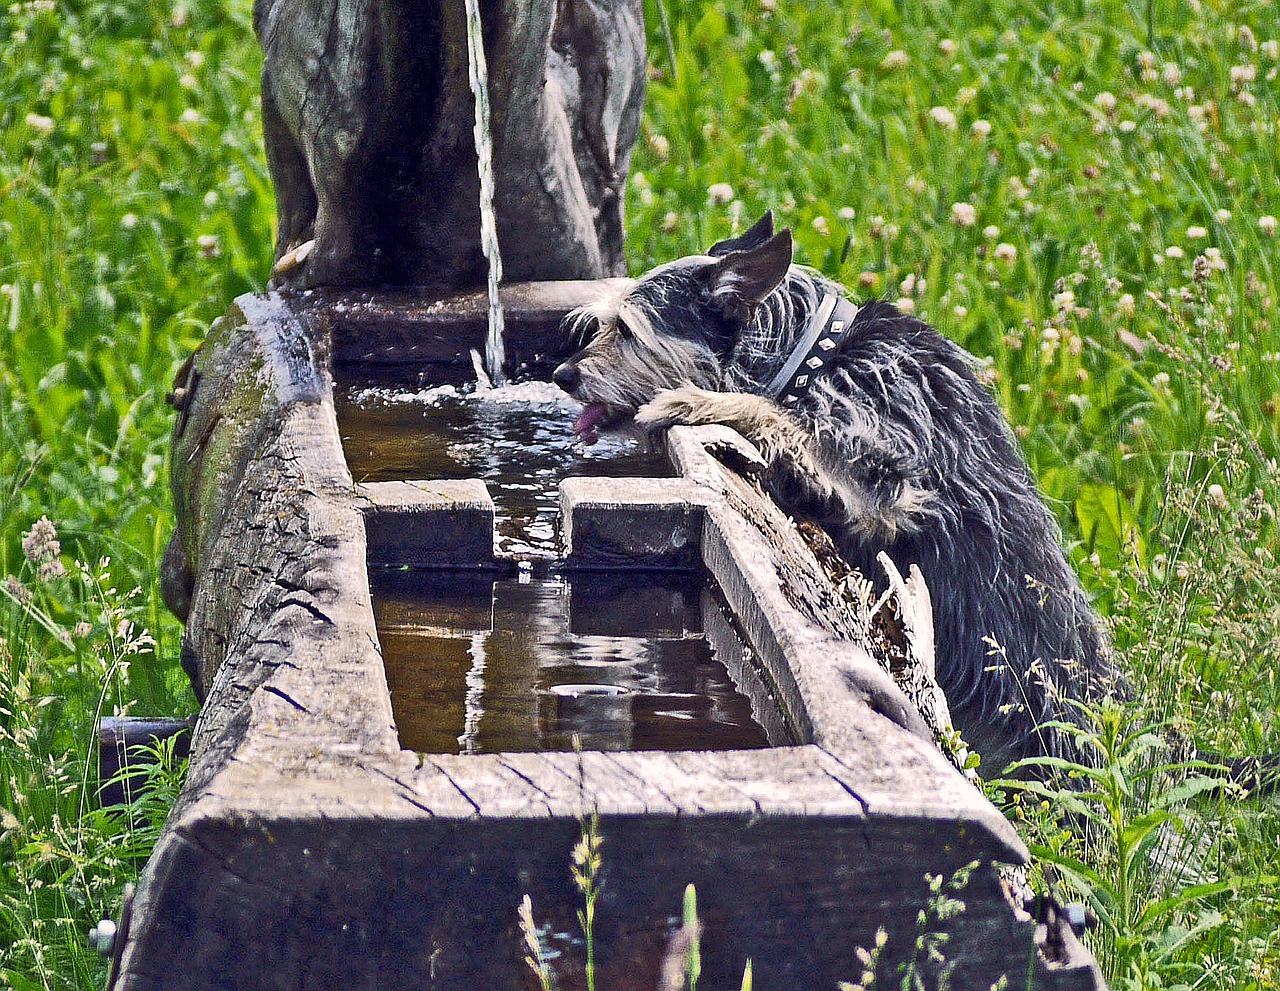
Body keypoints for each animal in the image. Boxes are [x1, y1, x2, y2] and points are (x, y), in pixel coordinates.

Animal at [552, 215, 1121, 778]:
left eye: (627, 331)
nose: (562, 374)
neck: (817, 359)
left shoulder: (886, 478)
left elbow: (778, 416)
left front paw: (696, 401)